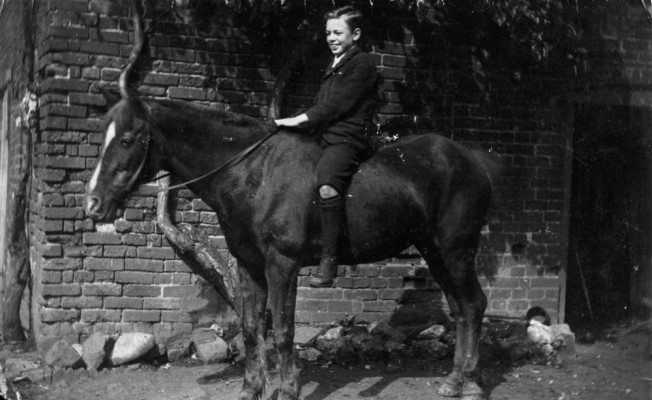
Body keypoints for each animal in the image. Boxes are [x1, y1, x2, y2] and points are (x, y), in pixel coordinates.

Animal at [84, 95, 499, 400]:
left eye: (126, 139)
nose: (93, 204)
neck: (252, 172)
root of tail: (472, 159)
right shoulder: (249, 265)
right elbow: (252, 329)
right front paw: (251, 389)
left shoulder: (282, 265)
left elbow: (282, 330)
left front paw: (286, 390)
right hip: (433, 251)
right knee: (460, 310)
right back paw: (454, 381)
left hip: (456, 250)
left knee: (474, 304)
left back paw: (473, 384)